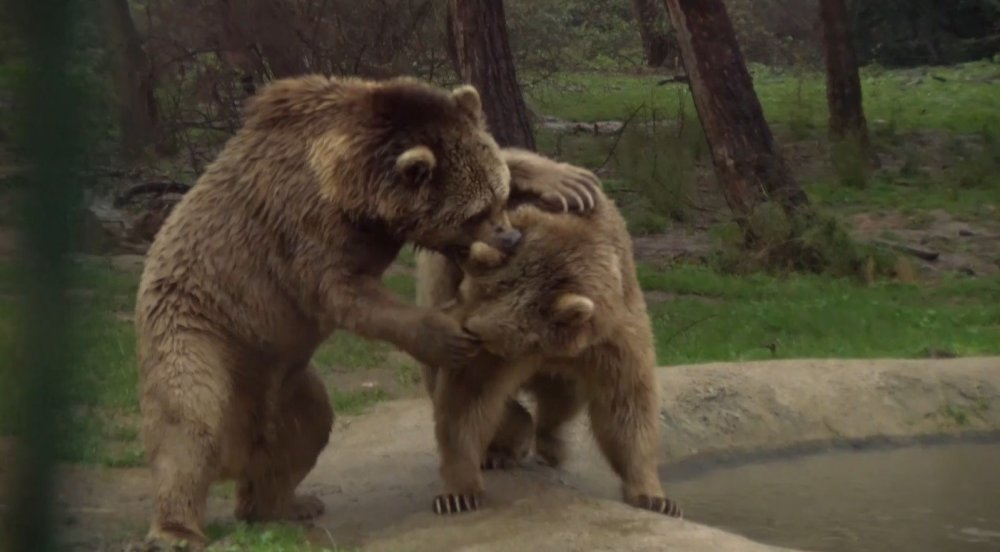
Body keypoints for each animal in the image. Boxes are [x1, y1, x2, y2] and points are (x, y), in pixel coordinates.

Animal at [137, 74, 596, 548]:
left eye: (500, 197)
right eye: (476, 213)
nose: (509, 238)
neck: (352, 190)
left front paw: (567, 181)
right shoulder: (302, 228)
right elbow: (349, 295)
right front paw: (447, 334)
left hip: (287, 377)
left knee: (308, 428)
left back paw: (283, 504)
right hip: (204, 327)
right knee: (191, 422)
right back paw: (177, 529)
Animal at [418, 175, 684, 520]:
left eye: (473, 329)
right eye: (464, 291)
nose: (444, 328)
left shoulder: (610, 338)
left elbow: (626, 402)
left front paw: (655, 497)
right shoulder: (491, 354)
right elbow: (467, 399)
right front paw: (458, 493)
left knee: (564, 396)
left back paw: (550, 442)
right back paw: (505, 444)